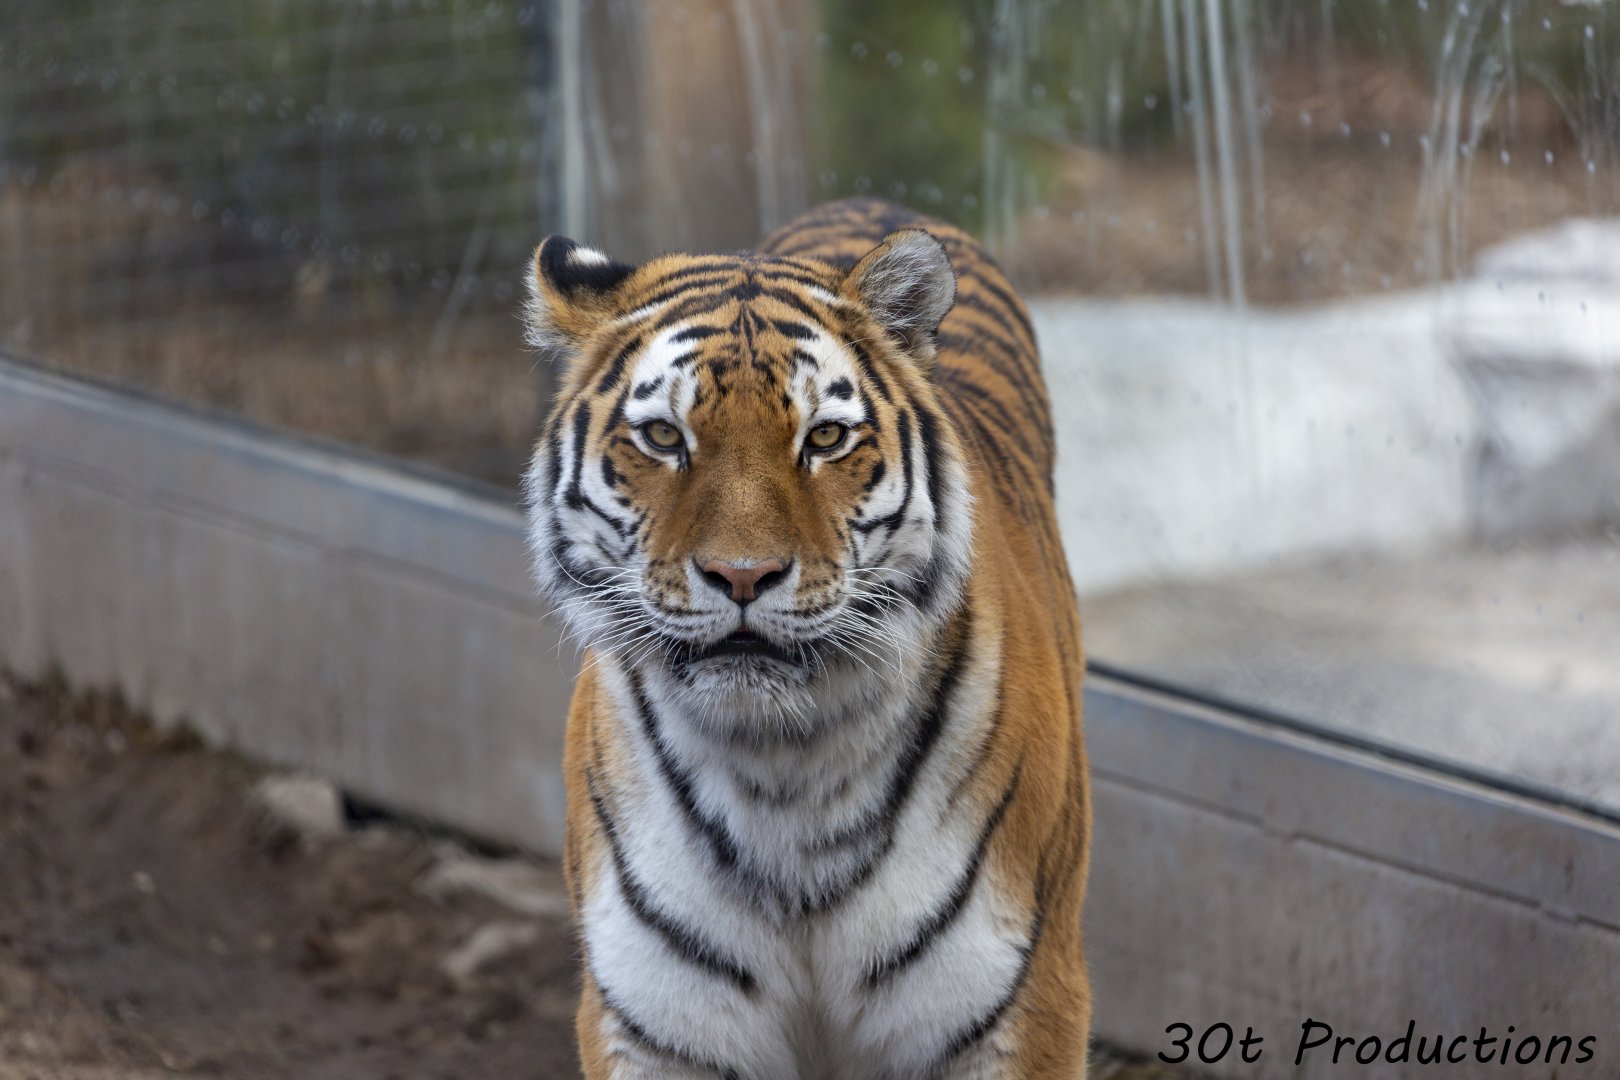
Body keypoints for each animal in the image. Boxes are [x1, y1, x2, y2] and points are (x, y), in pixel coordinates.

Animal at [522, 197, 1090, 1079]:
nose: (742, 575)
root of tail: (869, 200)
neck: (781, 768)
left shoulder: (1020, 1003)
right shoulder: (655, 1019)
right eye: (664, 438)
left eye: (823, 439)